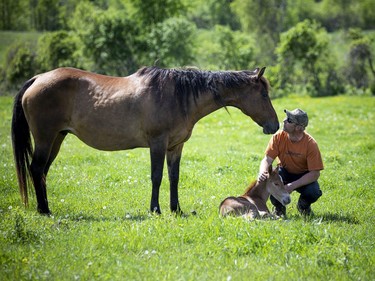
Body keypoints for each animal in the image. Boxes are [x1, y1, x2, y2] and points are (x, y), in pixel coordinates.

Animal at [11, 66, 280, 214]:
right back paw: (44, 210)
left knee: (42, 172)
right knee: (36, 169)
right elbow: (157, 177)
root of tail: (37, 78)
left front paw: (176, 209)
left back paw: (43, 206)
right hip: (45, 139)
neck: (178, 95)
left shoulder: (175, 146)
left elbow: (173, 177)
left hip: (57, 138)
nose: (275, 126)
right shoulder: (157, 144)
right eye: (263, 94)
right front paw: (156, 209)